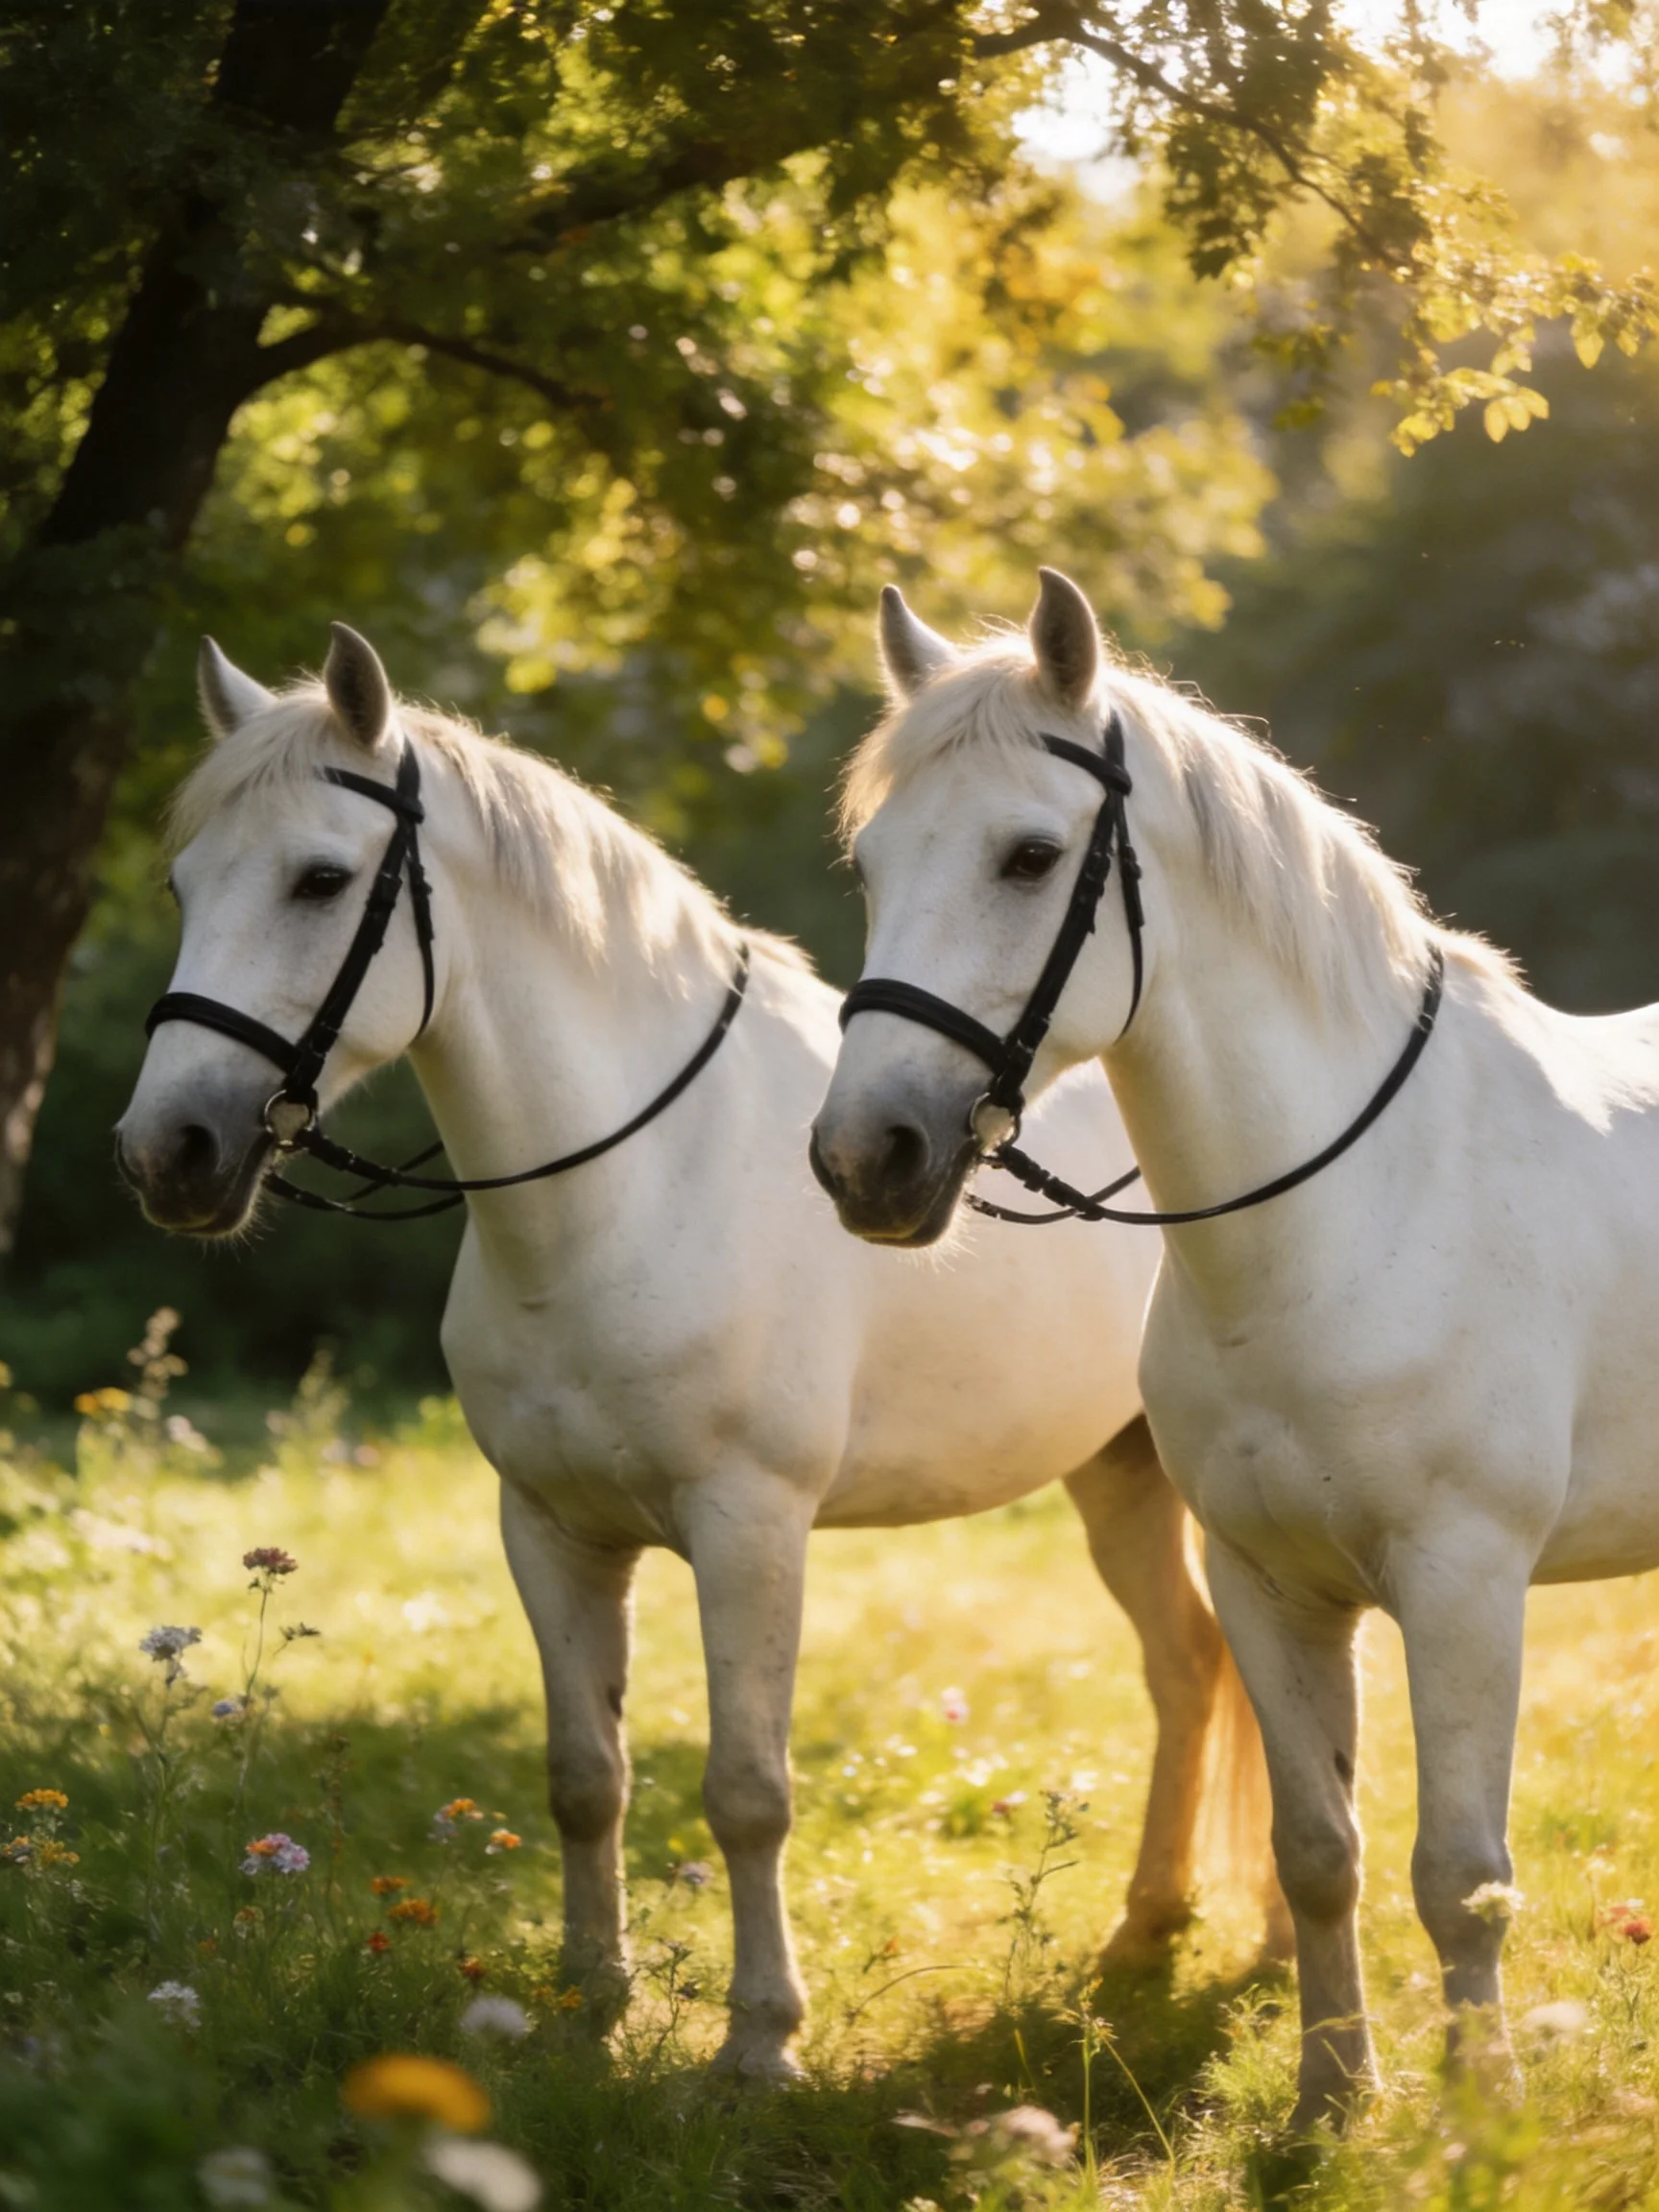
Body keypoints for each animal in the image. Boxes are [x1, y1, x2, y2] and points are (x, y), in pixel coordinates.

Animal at [116, 621, 1276, 2079]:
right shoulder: (548, 1530)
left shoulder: (749, 1528)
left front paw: (759, 2046)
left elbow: (746, 1791)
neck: (627, 1194)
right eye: (181, 882)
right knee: (1190, 1670)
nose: (169, 1153)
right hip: (1117, 1476)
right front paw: (588, 2001)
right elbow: (584, 1778)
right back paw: (1146, 1932)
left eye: (320, 879)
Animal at [812, 566, 1659, 2128]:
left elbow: (1462, 1877)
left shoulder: (1464, 1588)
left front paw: (1481, 2107)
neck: (1348, 1217)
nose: (864, 1159)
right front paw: (1333, 2095)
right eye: (875, 866)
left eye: (1031, 857)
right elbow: (1319, 1854)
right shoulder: (1267, 1586)